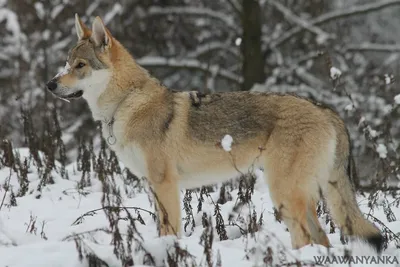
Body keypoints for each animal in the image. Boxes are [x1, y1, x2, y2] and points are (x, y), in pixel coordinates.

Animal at [46, 14, 384, 253]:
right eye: (66, 63)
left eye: (80, 65)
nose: (50, 84)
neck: (127, 103)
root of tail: (326, 109)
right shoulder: (152, 187)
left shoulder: (165, 185)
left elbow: (172, 232)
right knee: (321, 239)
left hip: (285, 195)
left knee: (309, 238)